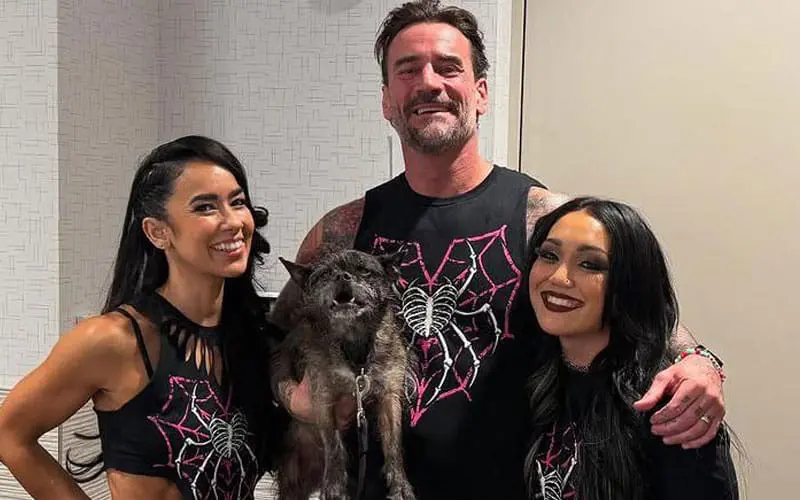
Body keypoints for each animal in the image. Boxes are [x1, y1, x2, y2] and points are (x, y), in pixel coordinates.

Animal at [270, 249, 415, 500]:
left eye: (364, 270)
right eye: (325, 274)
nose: (343, 276)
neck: (353, 343)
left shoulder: (389, 398)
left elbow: (394, 445)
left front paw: (400, 484)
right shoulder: (323, 399)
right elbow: (333, 445)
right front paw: (334, 486)